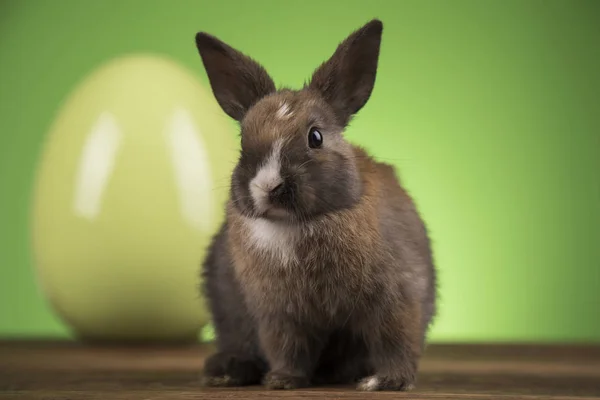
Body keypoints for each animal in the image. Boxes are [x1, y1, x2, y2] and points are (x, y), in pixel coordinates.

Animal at [196, 18, 436, 390]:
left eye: (315, 137)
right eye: (242, 142)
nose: (269, 186)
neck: (296, 225)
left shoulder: (397, 295)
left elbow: (395, 339)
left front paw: (388, 382)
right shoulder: (278, 312)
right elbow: (286, 345)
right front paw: (282, 380)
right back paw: (226, 371)